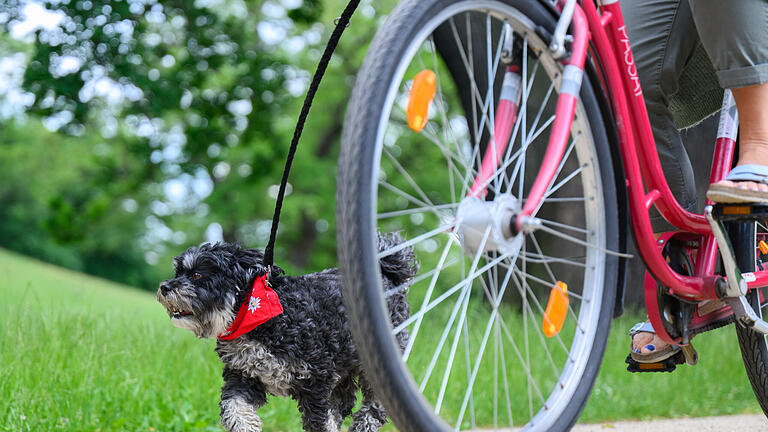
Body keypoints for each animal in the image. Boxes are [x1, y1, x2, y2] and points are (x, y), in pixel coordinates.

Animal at [157, 235, 416, 430]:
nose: (164, 287)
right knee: (345, 400)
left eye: (196, 275)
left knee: (375, 404)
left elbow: (320, 422)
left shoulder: (317, 381)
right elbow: (234, 408)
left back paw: (366, 424)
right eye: (178, 272)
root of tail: (389, 273)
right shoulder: (244, 376)